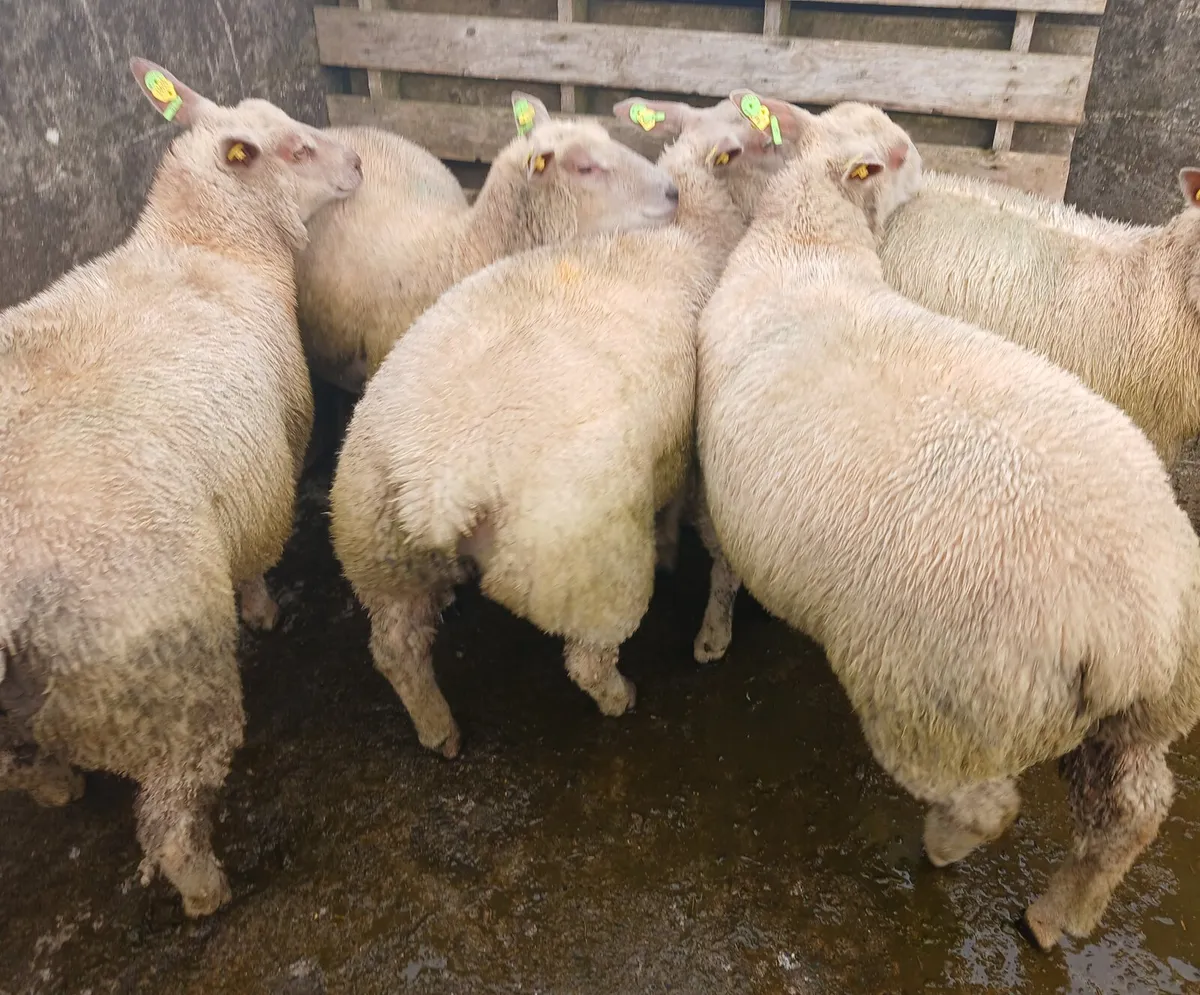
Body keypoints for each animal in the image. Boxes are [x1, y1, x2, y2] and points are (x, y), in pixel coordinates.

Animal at [0, 58, 362, 916]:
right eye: (298, 149)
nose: (360, 163)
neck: (209, 245)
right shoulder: (274, 455)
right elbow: (258, 558)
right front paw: (261, 608)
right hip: (160, 674)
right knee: (169, 813)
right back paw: (204, 888)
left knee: (19, 760)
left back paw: (55, 785)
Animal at [328, 105, 773, 757]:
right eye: (754, 144)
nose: (668, 192)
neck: (693, 229)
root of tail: (434, 486)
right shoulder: (695, 443)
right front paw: (702, 612)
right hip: (586, 565)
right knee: (587, 659)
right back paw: (619, 697)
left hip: (379, 554)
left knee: (395, 650)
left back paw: (438, 729)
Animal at [694, 101, 1200, 948]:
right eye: (897, 154)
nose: (926, 176)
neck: (804, 247)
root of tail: (1139, 625)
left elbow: (722, 565)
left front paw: (713, 632)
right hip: (1130, 720)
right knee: (1130, 814)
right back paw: (1058, 915)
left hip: (940, 703)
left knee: (988, 804)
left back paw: (945, 848)